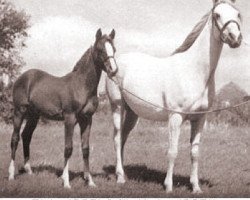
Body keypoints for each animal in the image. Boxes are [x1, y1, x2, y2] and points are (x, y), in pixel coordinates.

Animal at [8, 28, 117, 188]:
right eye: (100, 49)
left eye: (114, 49)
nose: (113, 70)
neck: (81, 86)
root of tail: (22, 77)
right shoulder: (69, 118)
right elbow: (68, 148)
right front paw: (66, 181)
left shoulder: (87, 119)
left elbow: (85, 149)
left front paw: (90, 181)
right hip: (19, 111)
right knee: (15, 138)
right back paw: (11, 174)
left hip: (34, 115)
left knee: (26, 136)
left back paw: (28, 170)